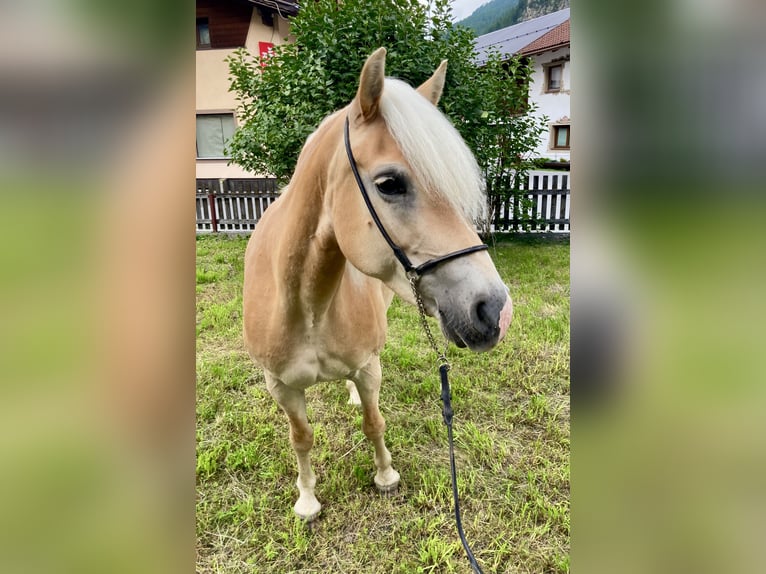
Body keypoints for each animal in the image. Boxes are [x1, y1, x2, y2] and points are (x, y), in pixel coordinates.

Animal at [243, 47, 512, 520]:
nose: (496, 309)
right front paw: (307, 499)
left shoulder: (369, 368)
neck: (308, 305)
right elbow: (301, 438)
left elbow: (373, 422)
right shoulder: (281, 387)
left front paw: (385, 475)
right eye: (390, 183)